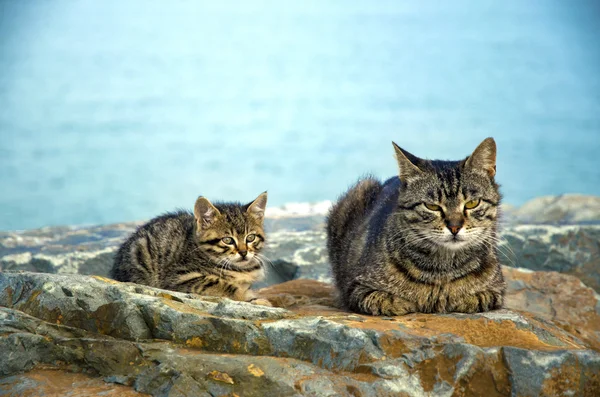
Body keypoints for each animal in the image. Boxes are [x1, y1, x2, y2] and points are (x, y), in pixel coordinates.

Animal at [111, 191, 270, 304]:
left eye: (250, 238)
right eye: (227, 240)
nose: (243, 252)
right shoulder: (180, 276)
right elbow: (222, 284)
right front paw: (248, 296)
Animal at [328, 138, 506, 314]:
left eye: (472, 203)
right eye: (431, 206)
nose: (454, 227)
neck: (443, 267)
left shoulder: (497, 289)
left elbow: (481, 296)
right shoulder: (356, 287)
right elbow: (380, 298)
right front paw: (399, 302)